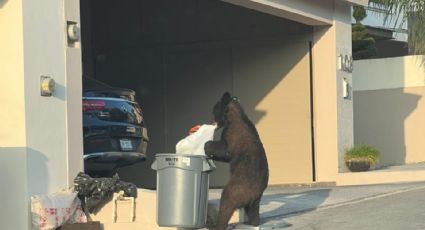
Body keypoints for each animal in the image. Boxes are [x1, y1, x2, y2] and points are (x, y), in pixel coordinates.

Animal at [203, 92, 268, 230]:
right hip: (255, 201)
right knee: (253, 212)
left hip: (238, 188)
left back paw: (217, 225)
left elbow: (225, 150)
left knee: (226, 202)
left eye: (214, 109)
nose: (211, 121)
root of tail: (254, 195)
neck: (234, 116)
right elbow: (226, 156)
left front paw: (207, 146)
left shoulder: (233, 133)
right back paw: (252, 222)